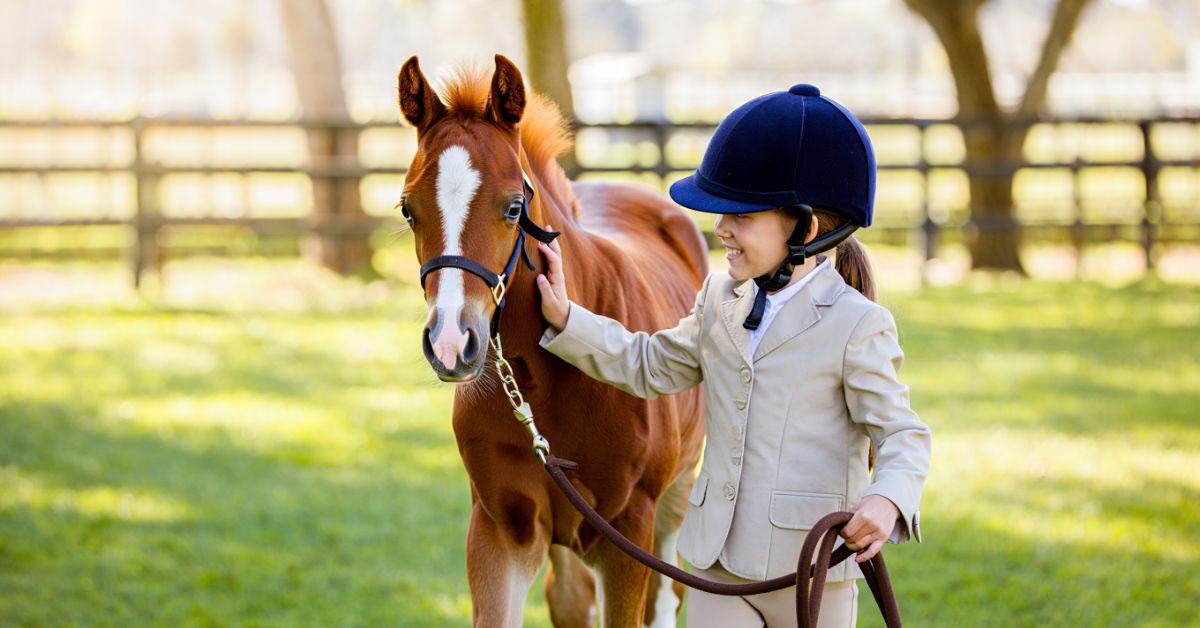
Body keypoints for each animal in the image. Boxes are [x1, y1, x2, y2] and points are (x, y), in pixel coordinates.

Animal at [397, 54, 709, 627]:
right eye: (408, 209)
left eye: (513, 207)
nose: (452, 342)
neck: (545, 380)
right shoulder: (500, 530)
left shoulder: (628, 533)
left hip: (674, 502)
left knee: (667, 597)